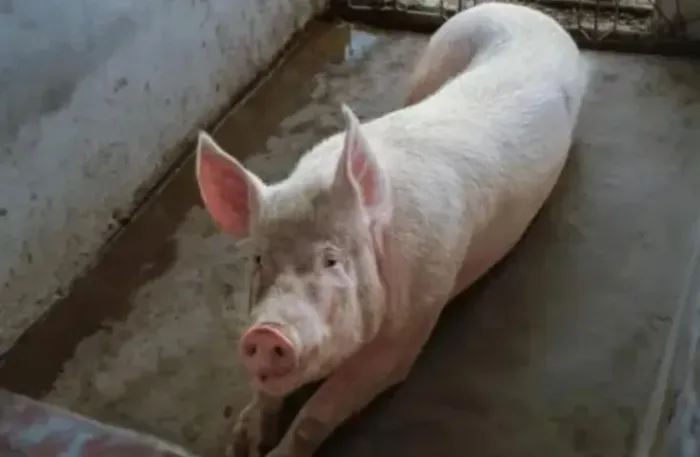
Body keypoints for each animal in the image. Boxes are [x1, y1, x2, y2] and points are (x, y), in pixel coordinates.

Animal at [195, 2, 590, 456]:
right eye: (258, 259)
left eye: (332, 260)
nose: (265, 332)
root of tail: (523, 10)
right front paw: (240, 444)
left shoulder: (413, 324)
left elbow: (321, 411)